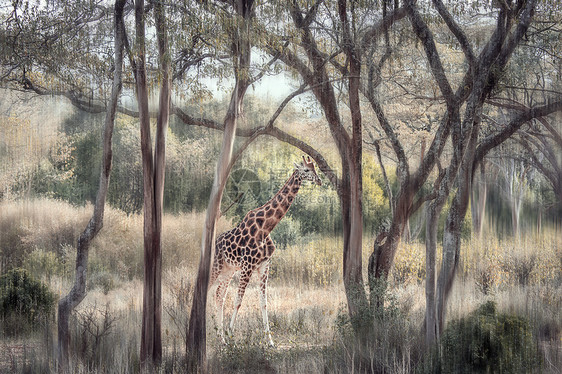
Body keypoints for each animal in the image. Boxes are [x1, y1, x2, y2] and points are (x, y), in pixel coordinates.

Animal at [208, 155, 320, 344]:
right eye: (306, 170)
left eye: (315, 169)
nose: (319, 180)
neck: (266, 228)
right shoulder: (247, 266)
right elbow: (238, 300)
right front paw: (231, 336)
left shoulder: (264, 265)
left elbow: (264, 302)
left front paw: (270, 341)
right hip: (217, 267)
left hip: (228, 270)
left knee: (219, 296)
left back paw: (220, 338)